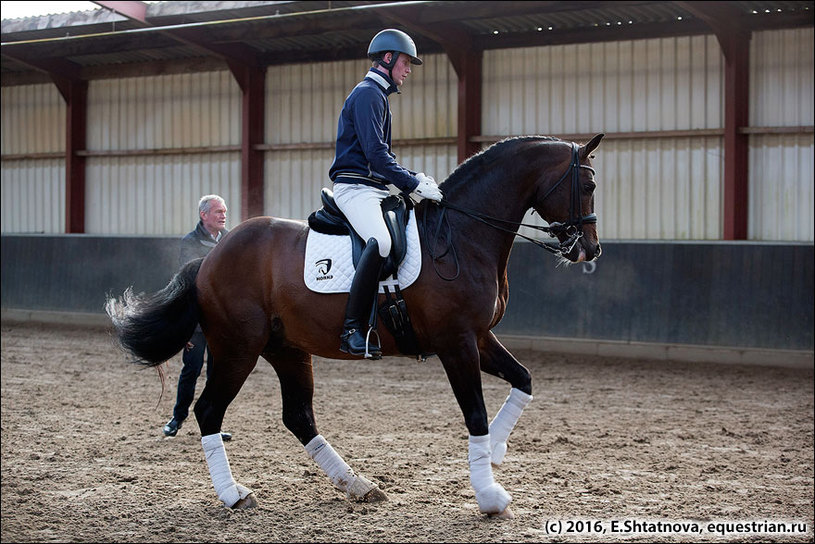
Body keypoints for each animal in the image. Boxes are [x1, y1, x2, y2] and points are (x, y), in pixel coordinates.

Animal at [107, 133, 604, 520]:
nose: (590, 250)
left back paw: (358, 485)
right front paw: (489, 495)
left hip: (287, 349)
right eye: (589, 184)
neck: (463, 235)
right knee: (210, 410)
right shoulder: (457, 342)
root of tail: (209, 258)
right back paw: (234, 495)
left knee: (299, 416)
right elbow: (475, 413)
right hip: (237, 348)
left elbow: (524, 379)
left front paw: (497, 452)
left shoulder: (479, 337)